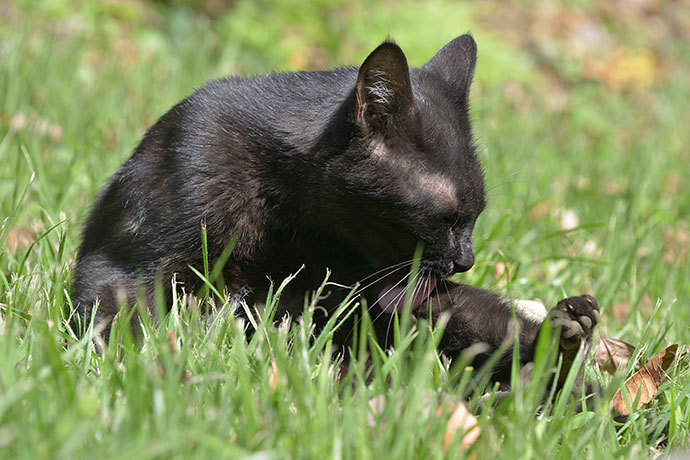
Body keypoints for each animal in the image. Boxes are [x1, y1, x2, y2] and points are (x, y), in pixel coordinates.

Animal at [72, 34, 592, 384]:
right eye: (448, 218)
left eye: (477, 215)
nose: (467, 259)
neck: (290, 217)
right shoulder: (128, 265)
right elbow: (129, 326)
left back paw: (566, 333)